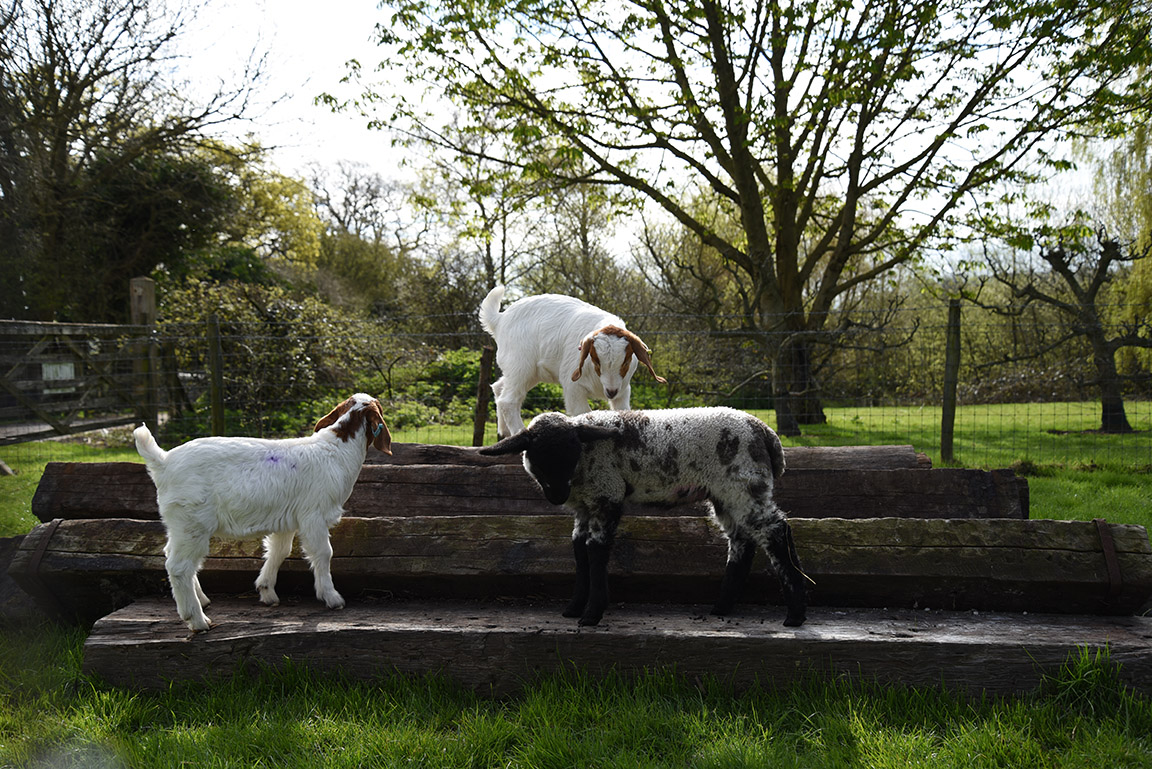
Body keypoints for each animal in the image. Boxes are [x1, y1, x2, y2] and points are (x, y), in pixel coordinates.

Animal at [133, 393, 392, 632]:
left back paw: (203, 600)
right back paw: (197, 620)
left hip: (179, 524)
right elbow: (323, 553)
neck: (336, 449)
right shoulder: (314, 515)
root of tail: (164, 461)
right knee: (179, 566)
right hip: (192, 522)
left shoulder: (287, 519)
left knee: (172, 555)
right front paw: (332, 597)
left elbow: (279, 551)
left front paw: (266, 590)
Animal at [478, 285, 666, 437]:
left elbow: (624, 412)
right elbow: (583, 414)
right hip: (520, 366)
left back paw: (505, 432)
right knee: (508, 401)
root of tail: (499, 320)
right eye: (595, 360)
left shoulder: (623, 389)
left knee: (499, 388)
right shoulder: (573, 387)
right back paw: (519, 432)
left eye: (626, 361)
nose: (610, 392)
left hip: (528, 372)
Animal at [479, 408, 808, 627]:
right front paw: (573, 608)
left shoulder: (606, 494)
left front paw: (591, 614)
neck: (584, 462)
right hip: (725, 493)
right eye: (538, 457)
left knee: (776, 532)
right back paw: (722, 607)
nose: (558, 496)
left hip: (744, 483)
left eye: (572, 452)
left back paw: (795, 615)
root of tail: (765, 432)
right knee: (741, 541)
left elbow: (596, 552)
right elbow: (579, 552)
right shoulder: (585, 508)